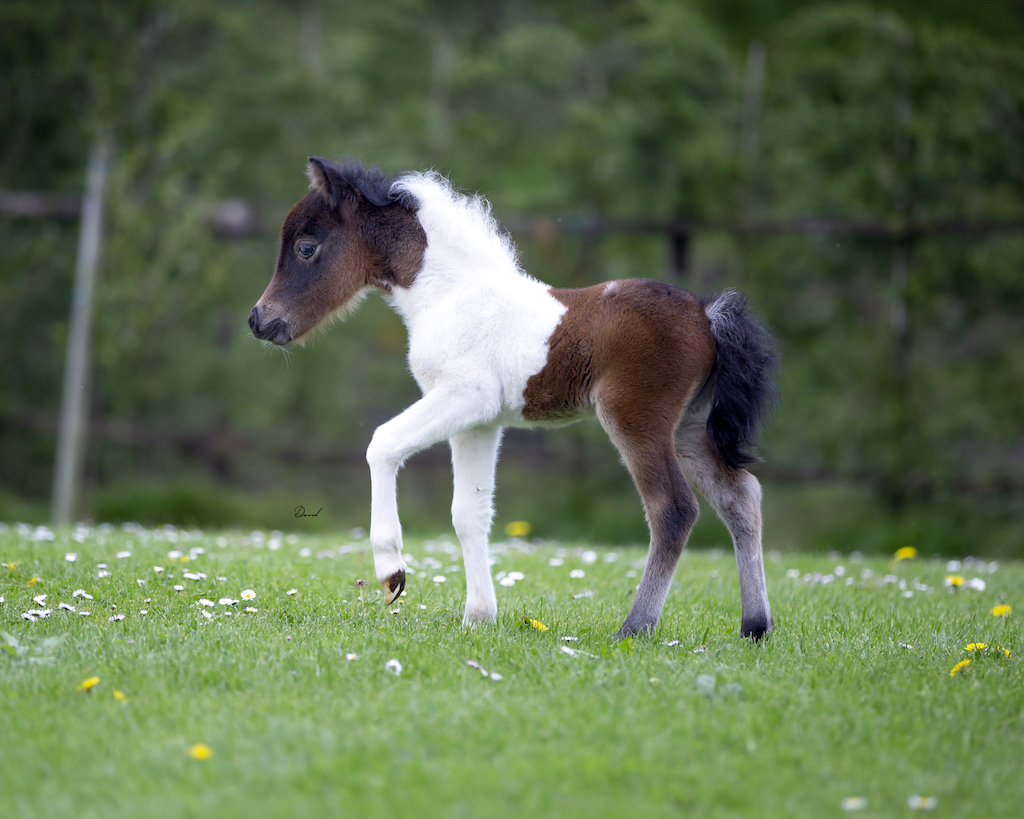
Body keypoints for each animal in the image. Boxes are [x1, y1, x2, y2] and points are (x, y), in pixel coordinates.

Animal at [249, 158, 777, 639]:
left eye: (306, 248)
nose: (259, 320)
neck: (448, 293)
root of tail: (706, 314)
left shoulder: (464, 396)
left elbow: (381, 444)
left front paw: (391, 573)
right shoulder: (480, 421)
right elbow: (469, 513)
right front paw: (478, 618)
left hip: (636, 418)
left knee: (673, 509)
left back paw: (635, 627)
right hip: (690, 427)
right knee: (740, 497)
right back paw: (755, 625)